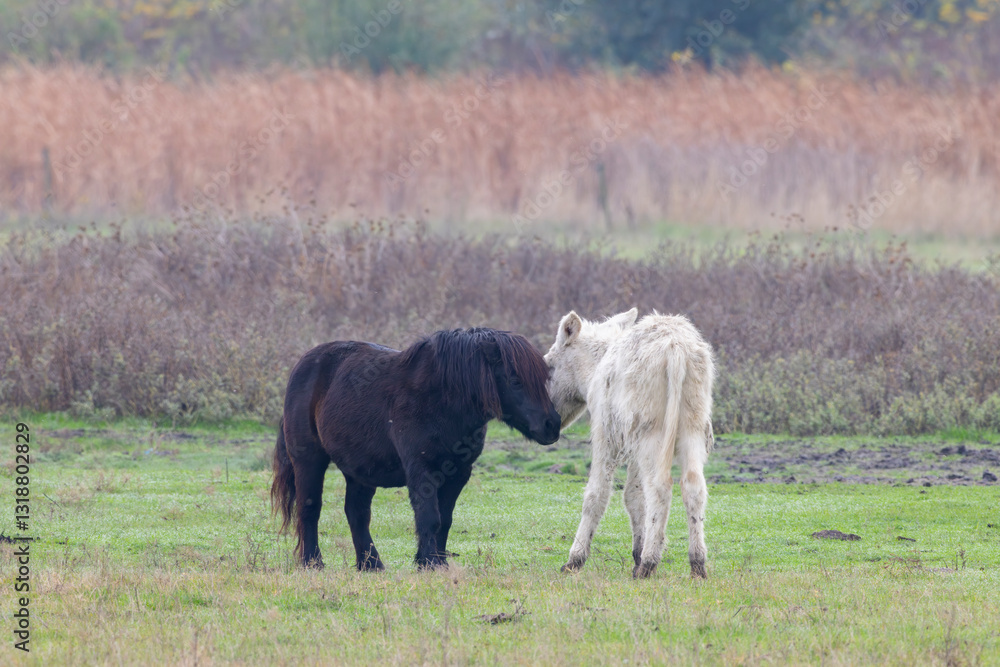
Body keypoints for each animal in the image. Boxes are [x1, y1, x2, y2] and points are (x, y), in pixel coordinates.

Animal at [271, 328, 561, 571]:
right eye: (515, 380)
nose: (552, 424)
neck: (441, 399)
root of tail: (303, 365)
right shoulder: (422, 469)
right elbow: (429, 517)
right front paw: (430, 563)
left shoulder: (458, 473)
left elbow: (445, 519)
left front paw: (435, 562)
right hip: (309, 461)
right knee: (309, 508)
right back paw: (313, 563)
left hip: (359, 471)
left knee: (357, 513)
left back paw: (371, 565)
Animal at [543, 308, 716, 578]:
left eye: (549, 365)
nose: (549, 423)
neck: (593, 372)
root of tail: (676, 349)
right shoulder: (633, 446)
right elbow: (634, 498)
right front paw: (636, 553)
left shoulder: (605, 436)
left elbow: (596, 495)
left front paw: (575, 559)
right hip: (692, 429)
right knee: (693, 486)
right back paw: (697, 563)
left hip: (652, 433)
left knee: (660, 487)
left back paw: (650, 562)